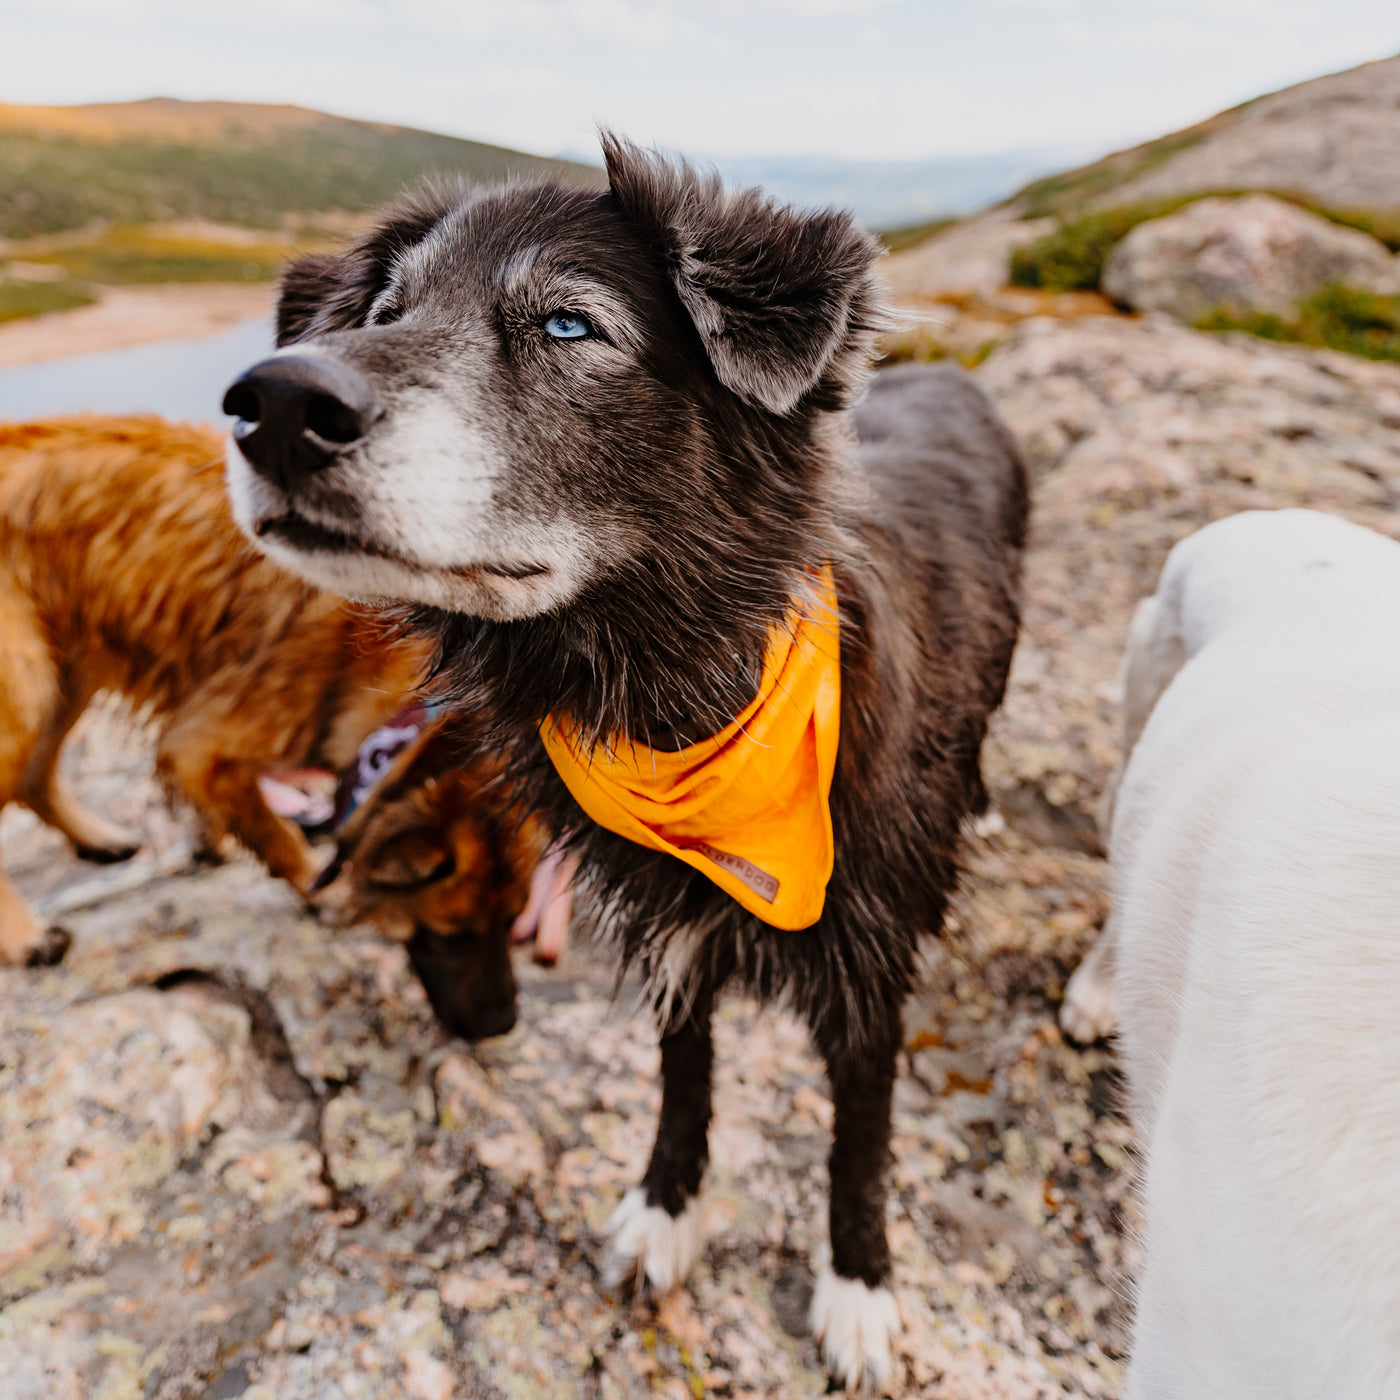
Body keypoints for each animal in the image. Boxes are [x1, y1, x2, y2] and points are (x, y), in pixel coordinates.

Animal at [0, 408, 428, 968]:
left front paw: (209, 840)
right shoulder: (204, 741)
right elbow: (272, 828)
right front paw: (321, 885)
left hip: (62, 674)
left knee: (35, 778)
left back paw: (98, 839)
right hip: (26, 686)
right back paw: (25, 936)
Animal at [221, 139, 1030, 1388]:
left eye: (568, 325)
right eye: (385, 313)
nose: (276, 404)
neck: (669, 702)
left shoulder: (868, 967)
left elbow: (858, 1140)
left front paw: (857, 1288)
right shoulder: (669, 928)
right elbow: (680, 1075)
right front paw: (666, 1208)